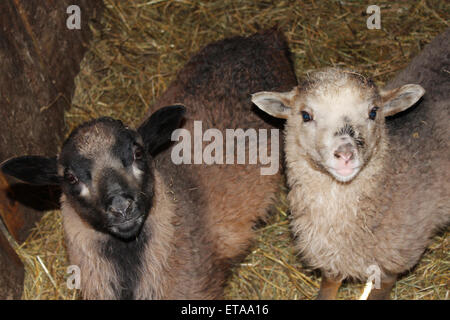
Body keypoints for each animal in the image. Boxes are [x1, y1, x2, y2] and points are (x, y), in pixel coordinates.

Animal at [253, 28, 450, 300]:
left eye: (373, 112)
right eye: (306, 115)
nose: (346, 154)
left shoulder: (391, 264)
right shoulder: (332, 257)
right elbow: (329, 284)